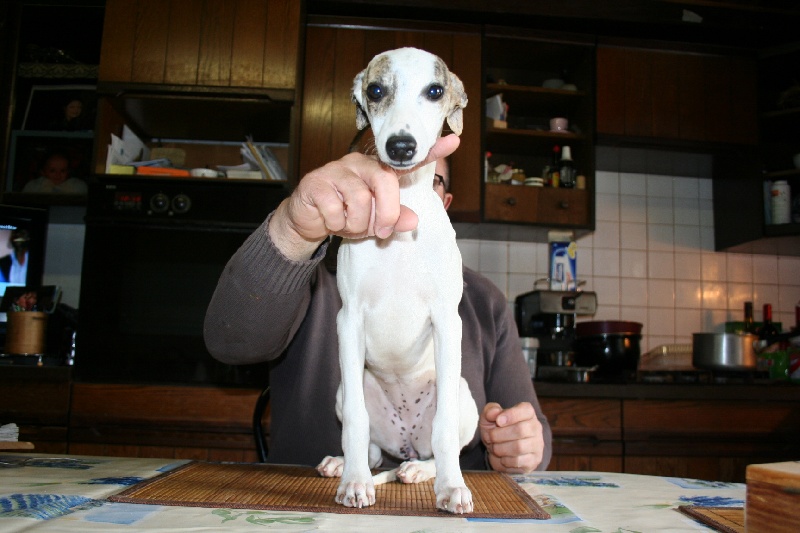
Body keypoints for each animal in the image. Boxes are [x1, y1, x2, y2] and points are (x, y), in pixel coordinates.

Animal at [314, 47, 478, 512]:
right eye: (375, 90)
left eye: (435, 91)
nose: (401, 146)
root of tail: (404, 442)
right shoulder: (349, 320)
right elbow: (355, 423)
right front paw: (354, 483)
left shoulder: (448, 320)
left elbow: (444, 432)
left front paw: (452, 488)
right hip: (349, 387)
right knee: (371, 447)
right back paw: (345, 464)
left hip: (462, 394)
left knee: (437, 444)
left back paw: (420, 471)